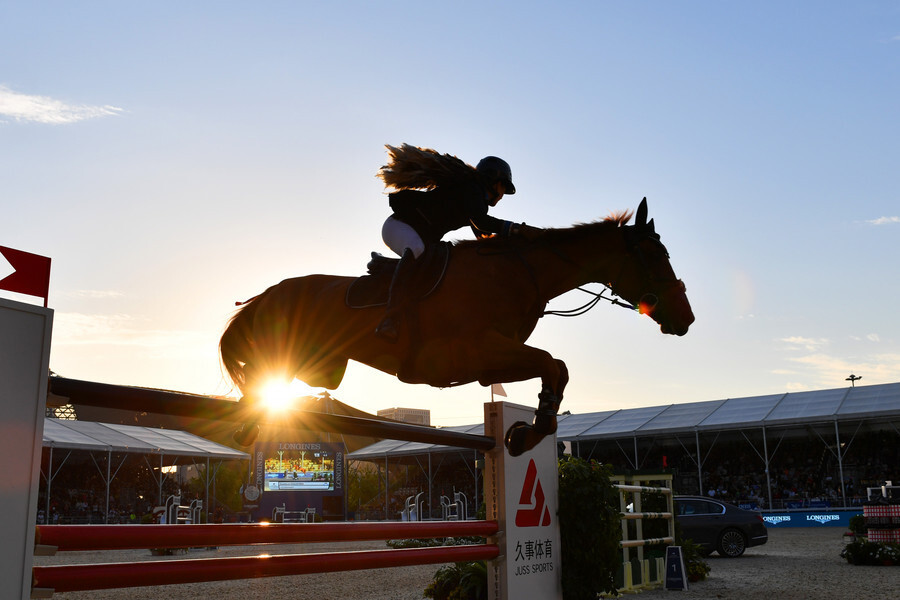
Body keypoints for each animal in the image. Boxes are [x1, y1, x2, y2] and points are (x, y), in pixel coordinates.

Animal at [220, 198, 694, 456]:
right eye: (656, 256)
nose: (686, 318)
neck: (520, 273)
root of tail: (268, 294)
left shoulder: (489, 363)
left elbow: (554, 368)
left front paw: (528, 431)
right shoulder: (477, 349)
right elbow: (552, 363)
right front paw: (527, 435)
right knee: (261, 378)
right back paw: (246, 420)